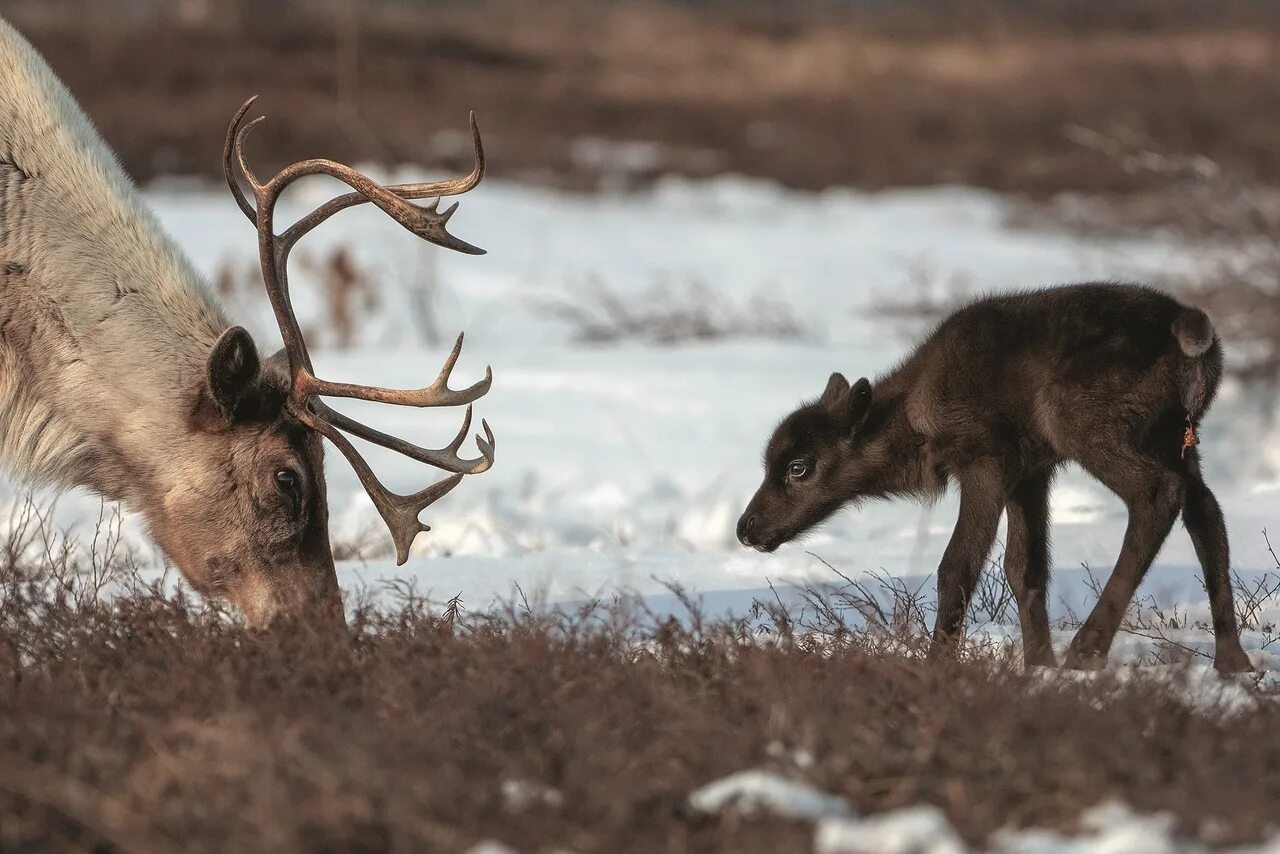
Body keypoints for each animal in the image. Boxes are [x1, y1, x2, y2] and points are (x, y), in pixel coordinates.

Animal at [742, 284, 1249, 670]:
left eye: (799, 467)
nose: (746, 528)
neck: (914, 419)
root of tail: (1188, 331)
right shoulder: (1031, 473)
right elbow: (1024, 569)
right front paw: (1037, 665)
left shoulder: (984, 463)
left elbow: (957, 566)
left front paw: (938, 664)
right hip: (1179, 439)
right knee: (1206, 514)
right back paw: (1233, 662)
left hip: (1083, 426)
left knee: (1158, 493)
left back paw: (1087, 650)